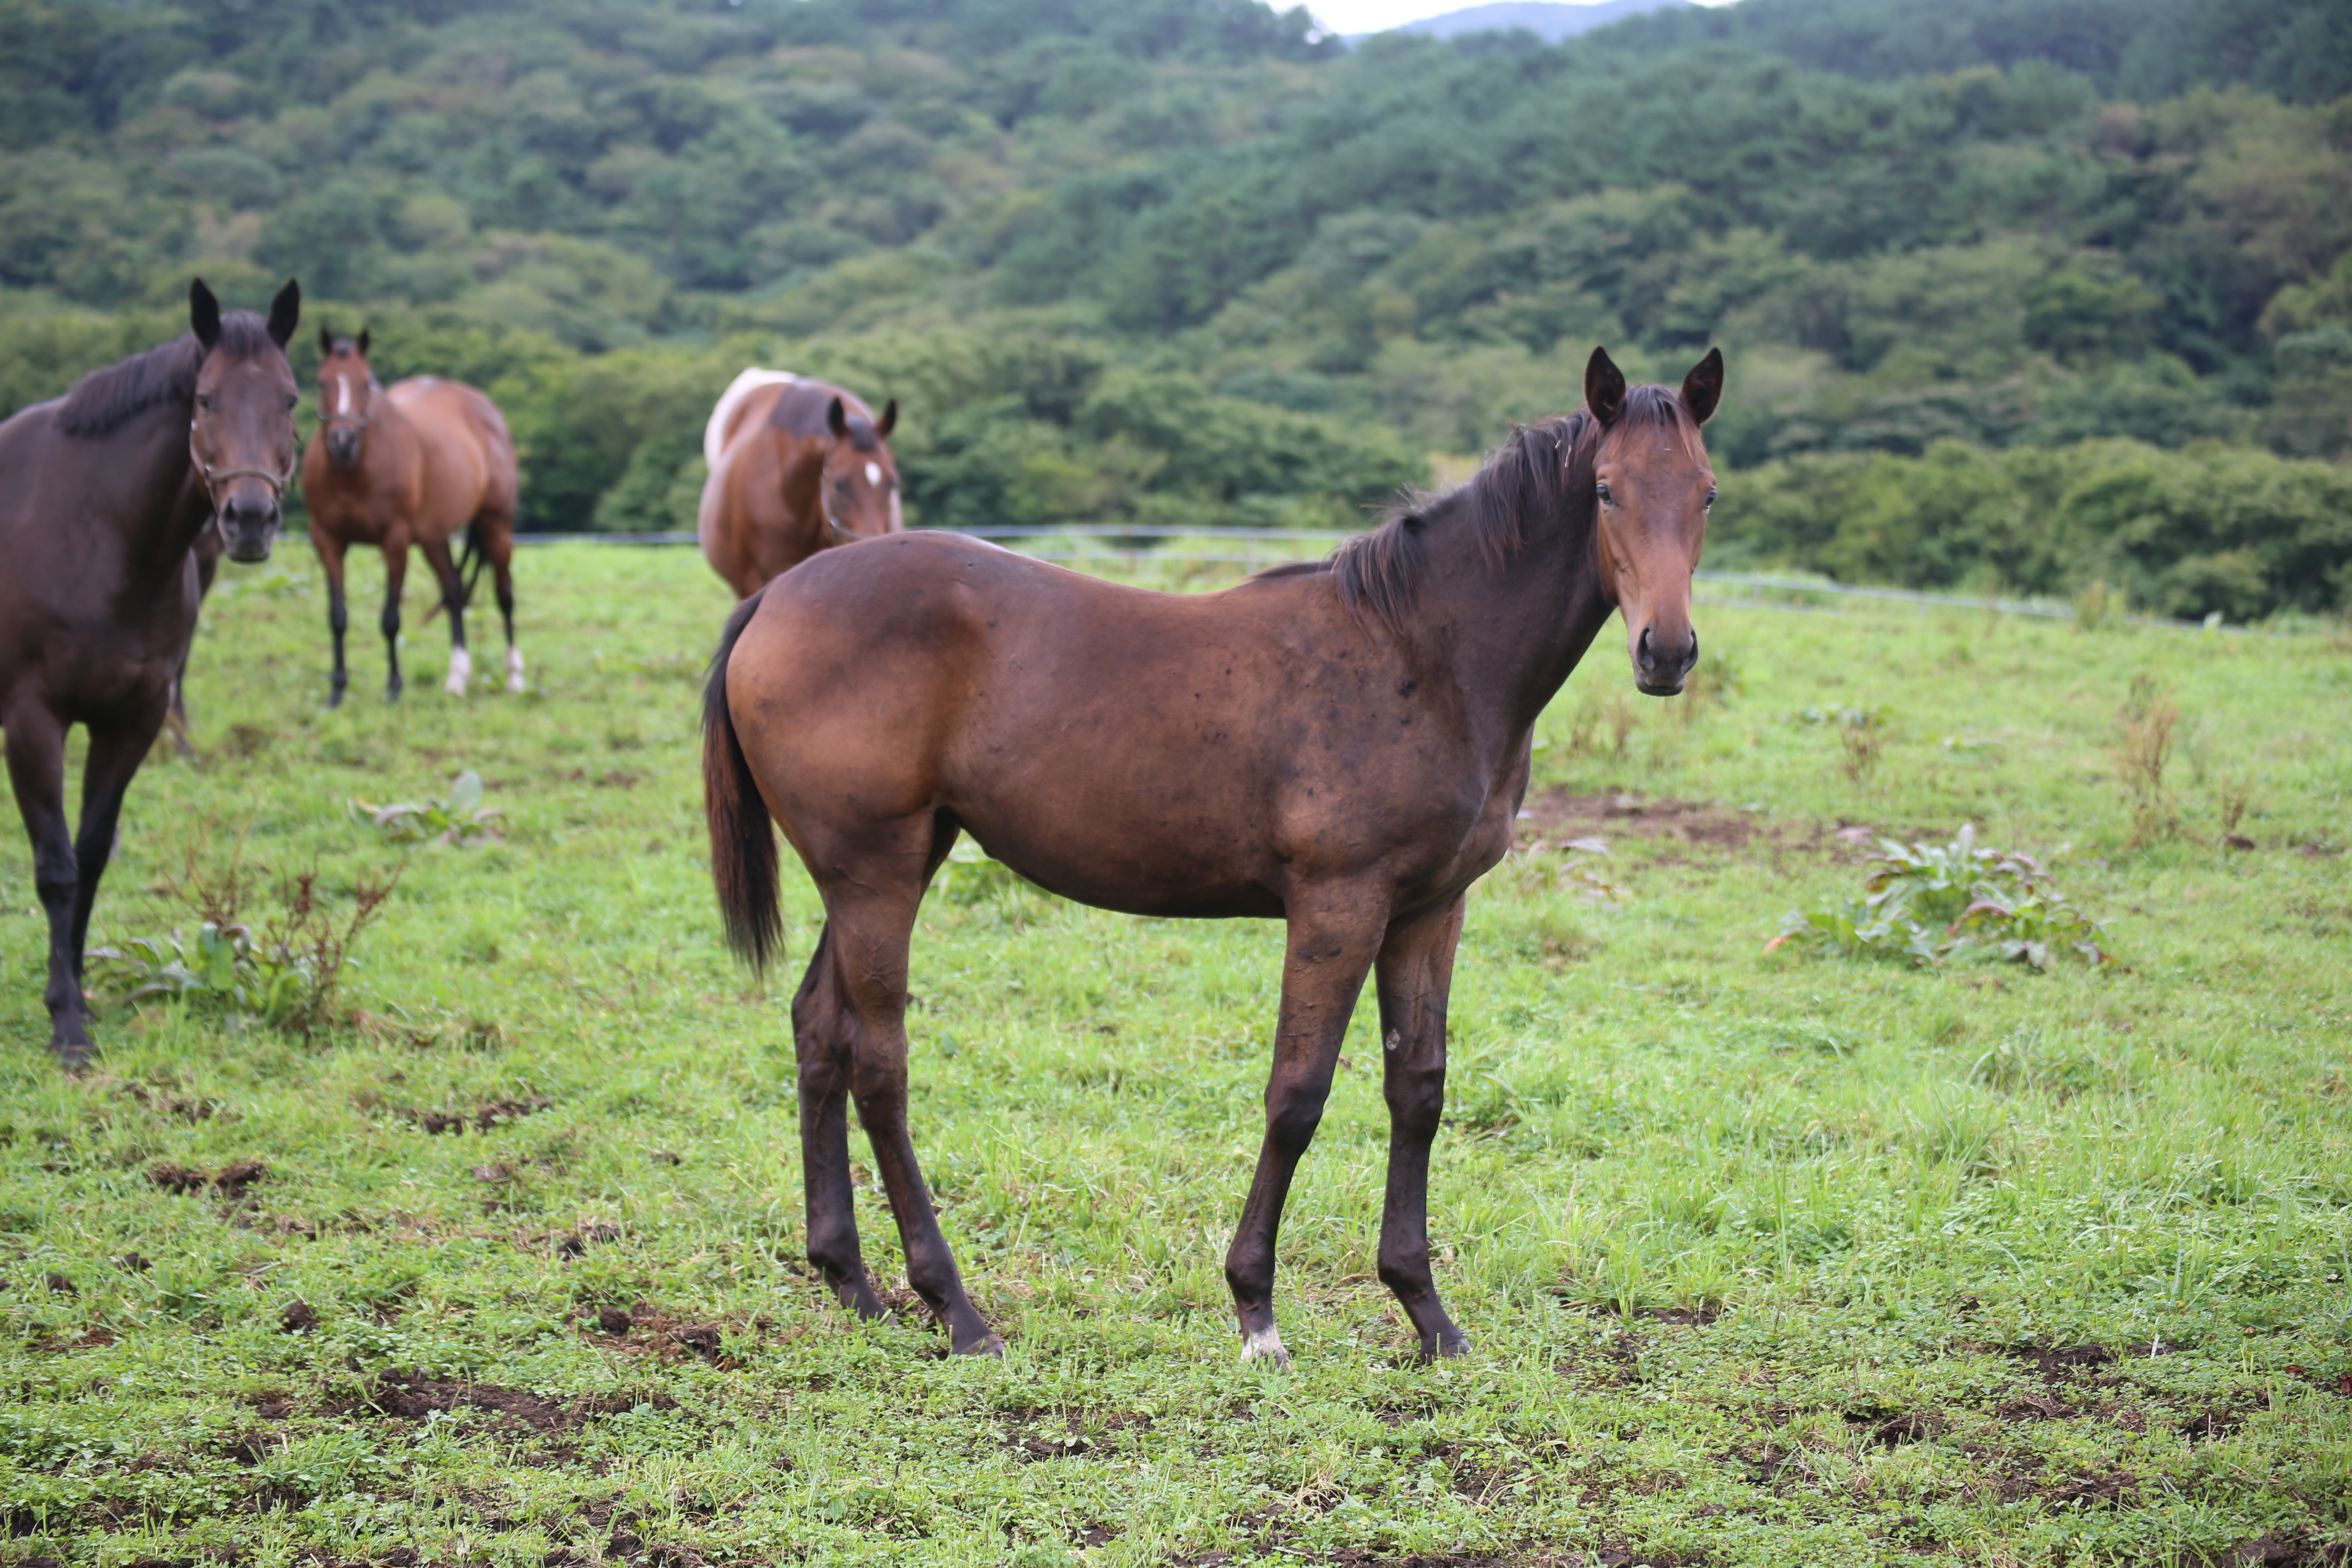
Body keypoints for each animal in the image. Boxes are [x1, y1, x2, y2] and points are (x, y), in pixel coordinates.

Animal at [0, 278, 303, 1067]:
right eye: (205, 399)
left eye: (291, 399)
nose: (250, 519)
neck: (95, 535)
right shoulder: (33, 720)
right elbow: (55, 866)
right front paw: (67, 1026)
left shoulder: (132, 719)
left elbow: (91, 854)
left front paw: (76, 993)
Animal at [301, 331, 522, 710]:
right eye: (321, 382)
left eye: (366, 384)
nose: (343, 442)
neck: (352, 474)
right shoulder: (327, 541)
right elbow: (338, 618)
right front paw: (337, 691)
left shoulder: (395, 541)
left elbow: (391, 619)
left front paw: (394, 688)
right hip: (435, 537)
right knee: (453, 590)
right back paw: (457, 678)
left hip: (496, 524)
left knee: (504, 594)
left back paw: (514, 677)